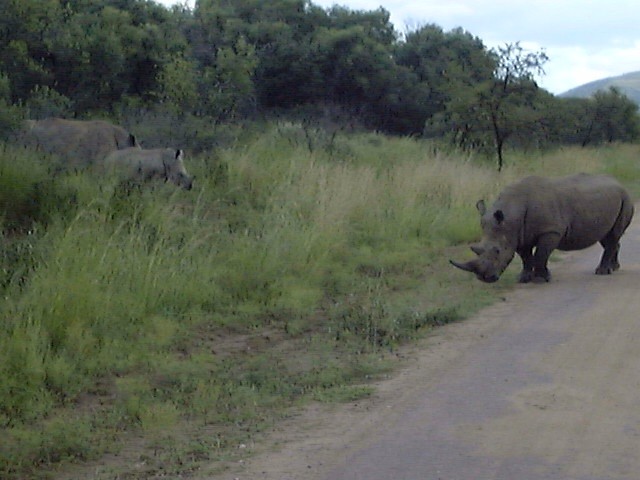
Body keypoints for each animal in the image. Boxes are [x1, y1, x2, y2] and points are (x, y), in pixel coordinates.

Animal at [450, 173, 634, 283]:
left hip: (625, 198)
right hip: (612, 200)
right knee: (607, 237)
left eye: (497, 251)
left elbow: (541, 254)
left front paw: (541, 279)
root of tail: (618, 183)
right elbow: (525, 257)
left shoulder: (550, 231)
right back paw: (614, 268)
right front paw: (524, 278)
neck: (511, 214)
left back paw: (602, 272)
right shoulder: (518, 234)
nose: (484, 278)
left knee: (613, 235)